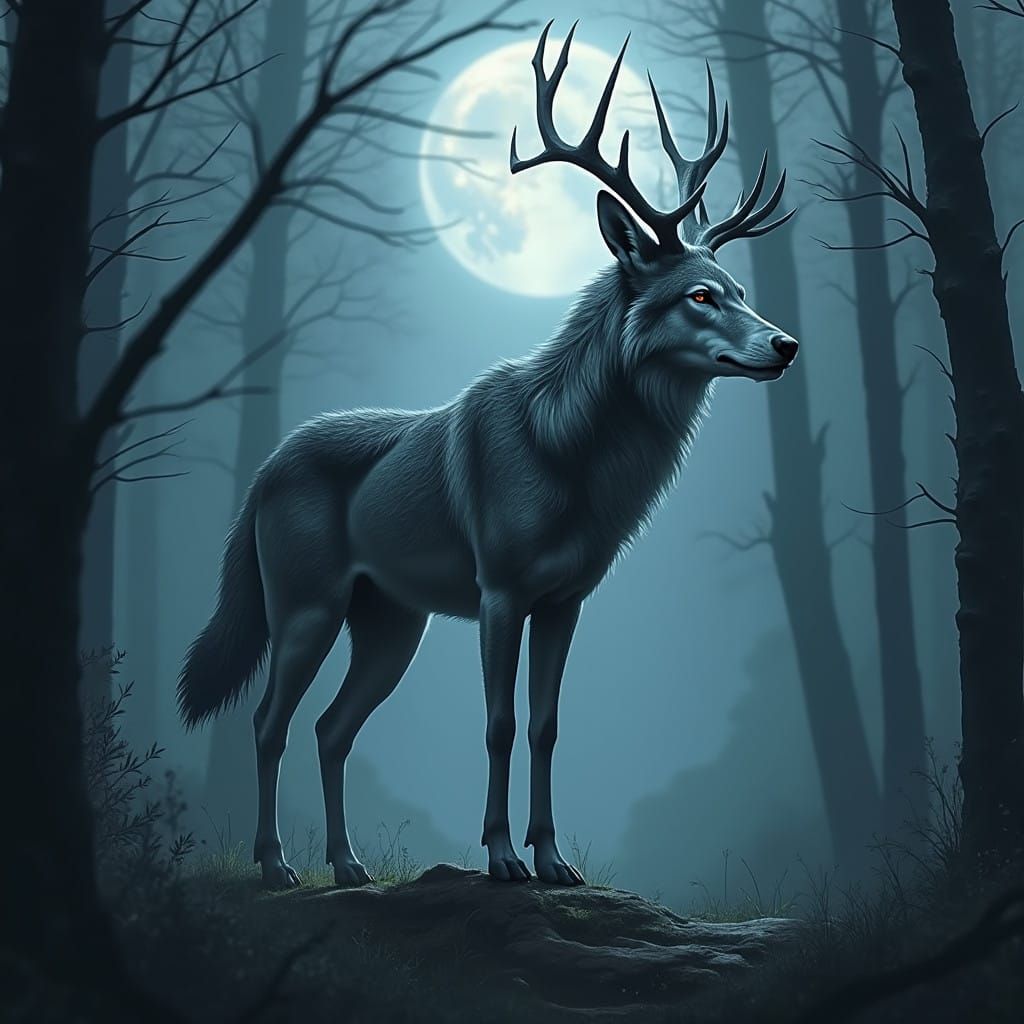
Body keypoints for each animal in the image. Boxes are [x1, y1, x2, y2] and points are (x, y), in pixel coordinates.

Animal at [178, 22, 799, 890]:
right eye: (699, 296)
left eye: (738, 289)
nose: (785, 345)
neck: (569, 463)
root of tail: (264, 473)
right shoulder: (500, 590)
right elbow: (499, 722)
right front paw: (502, 856)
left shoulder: (568, 598)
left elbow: (546, 725)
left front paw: (554, 859)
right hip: (305, 605)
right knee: (271, 721)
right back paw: (276, 866)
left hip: (391, 622)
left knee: (333, 727)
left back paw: (350, 865)